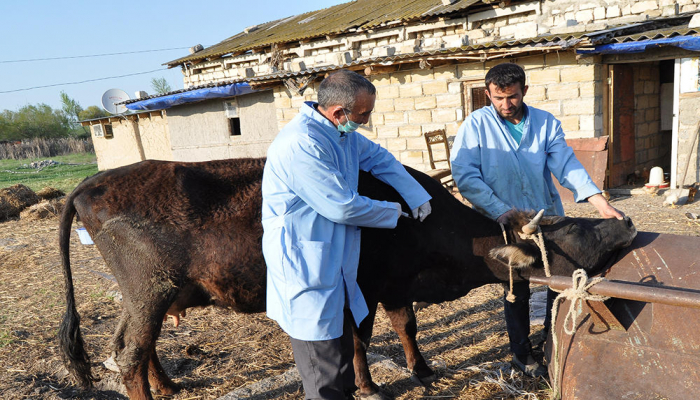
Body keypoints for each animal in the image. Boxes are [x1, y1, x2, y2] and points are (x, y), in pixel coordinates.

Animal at [60, 158, 636, 398]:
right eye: (568, 227)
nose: (626, 222)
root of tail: (93, 180)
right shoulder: (363, 287)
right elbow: (359, 339)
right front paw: (370, 386)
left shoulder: (396, 286)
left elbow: (406, 326)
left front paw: (423, 370)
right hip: (150, 289)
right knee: (130, 353)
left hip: (146, 296)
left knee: (131, 345)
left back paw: (170, 385)